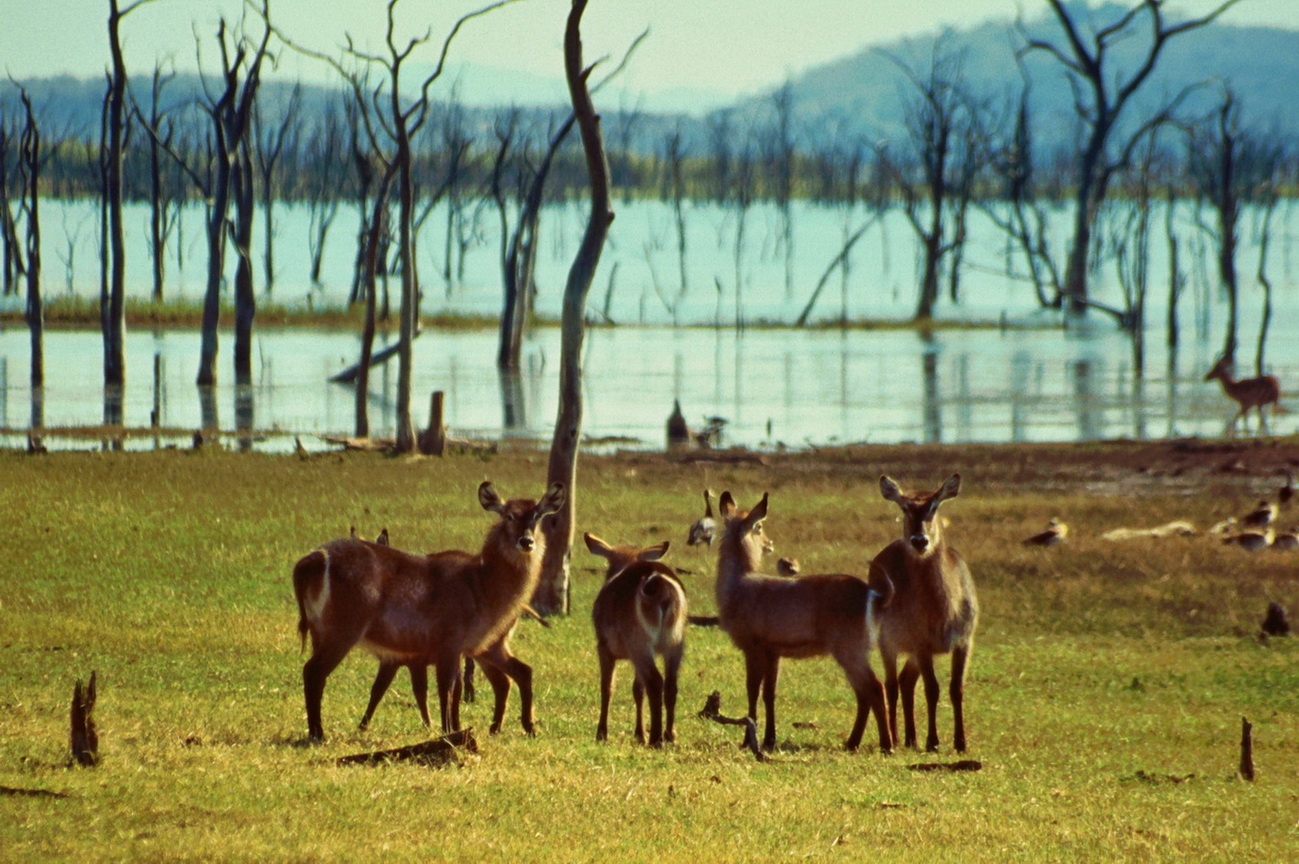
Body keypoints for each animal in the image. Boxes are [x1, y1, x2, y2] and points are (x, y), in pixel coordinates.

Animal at [293, 478, 563, 743]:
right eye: (508, 515)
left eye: (537, 515)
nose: (526, 541)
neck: (481, 583)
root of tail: (313, 559)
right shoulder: (449, 644)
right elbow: (446, 689)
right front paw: (448, 731)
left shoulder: (455, 650)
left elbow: (450, 690)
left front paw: (451, 729)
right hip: (343, 631)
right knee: (313, 671)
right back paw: (318, 734)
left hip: (321, 632)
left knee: (519, 673)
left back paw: (524, 727)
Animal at [584, 530, 685, 743]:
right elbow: (638, 689)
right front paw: (639, 733)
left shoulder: (604, 646)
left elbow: (607, 687)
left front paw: (601, 733)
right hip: (675, 640)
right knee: (671, 684)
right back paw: (670, 735)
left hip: (639, 640)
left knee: (655, 681)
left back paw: (656, 739)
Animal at [711, 488, 893, 753]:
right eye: (760, 527)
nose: (769, 544)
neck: (737, 585)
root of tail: (875, 595)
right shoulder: (773, 651)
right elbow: (769, 693)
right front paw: (769, 739)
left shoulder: (753, 647)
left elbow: (752, 690)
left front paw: (748, 740)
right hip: (853, 651)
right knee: (864, 693)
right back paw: (852, 743)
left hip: (849, 649)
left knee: (875, 688)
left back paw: (886, 745)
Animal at [867, 475, 976, 753]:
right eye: (904, 507)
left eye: (934, 506)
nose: (919, 540)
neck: (944, 609)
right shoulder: (922, 643)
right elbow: (932, 689)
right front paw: (933, 742)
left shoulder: (964, 641)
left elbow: (956, 689)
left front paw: (961, 743)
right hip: (888, 642)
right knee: (892, 684)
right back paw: (894, 739)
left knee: (906, 682)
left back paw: (911, 739)